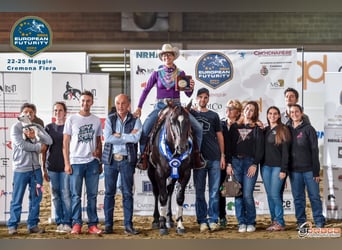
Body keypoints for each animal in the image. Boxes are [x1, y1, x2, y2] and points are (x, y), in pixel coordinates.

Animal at [148, 101, 195, 234]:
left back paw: (169, 219)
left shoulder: (185, 173)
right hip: (151, 171)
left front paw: (180, 224)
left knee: (169, 190)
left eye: (188, 121)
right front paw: (162, 225)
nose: (182, 147)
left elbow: (179, 197)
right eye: (172, 121)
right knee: (156, 192)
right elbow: (162, 197)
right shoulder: (159, 173)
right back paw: (156, 220)